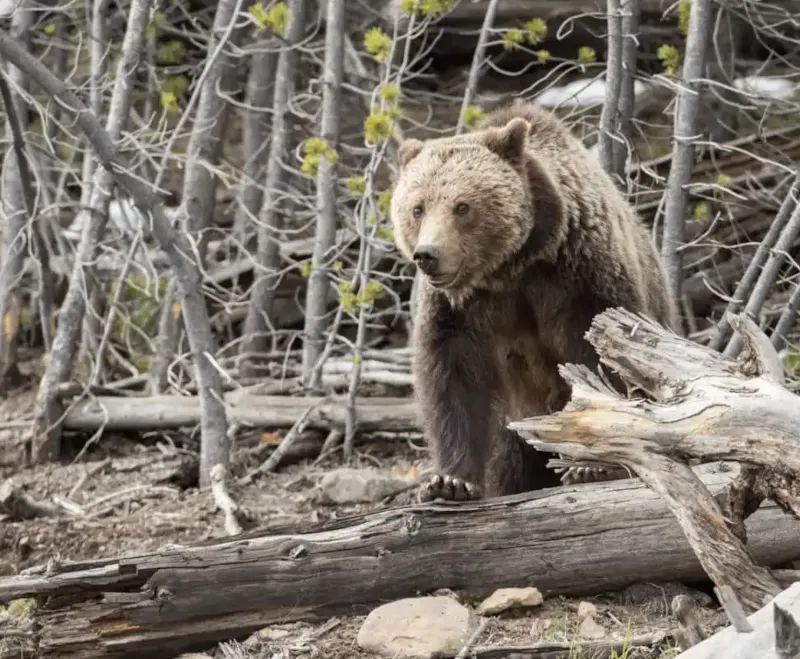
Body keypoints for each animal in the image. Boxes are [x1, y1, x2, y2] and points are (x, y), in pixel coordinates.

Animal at [389, 100, 680, 502]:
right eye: (417, 207)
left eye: (462, 206)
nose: (427, 255)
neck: (512, 267)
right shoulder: (460, 310)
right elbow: (452, 379)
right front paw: (450, 481)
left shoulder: (579, 278)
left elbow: (601, 361)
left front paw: (591, 466)